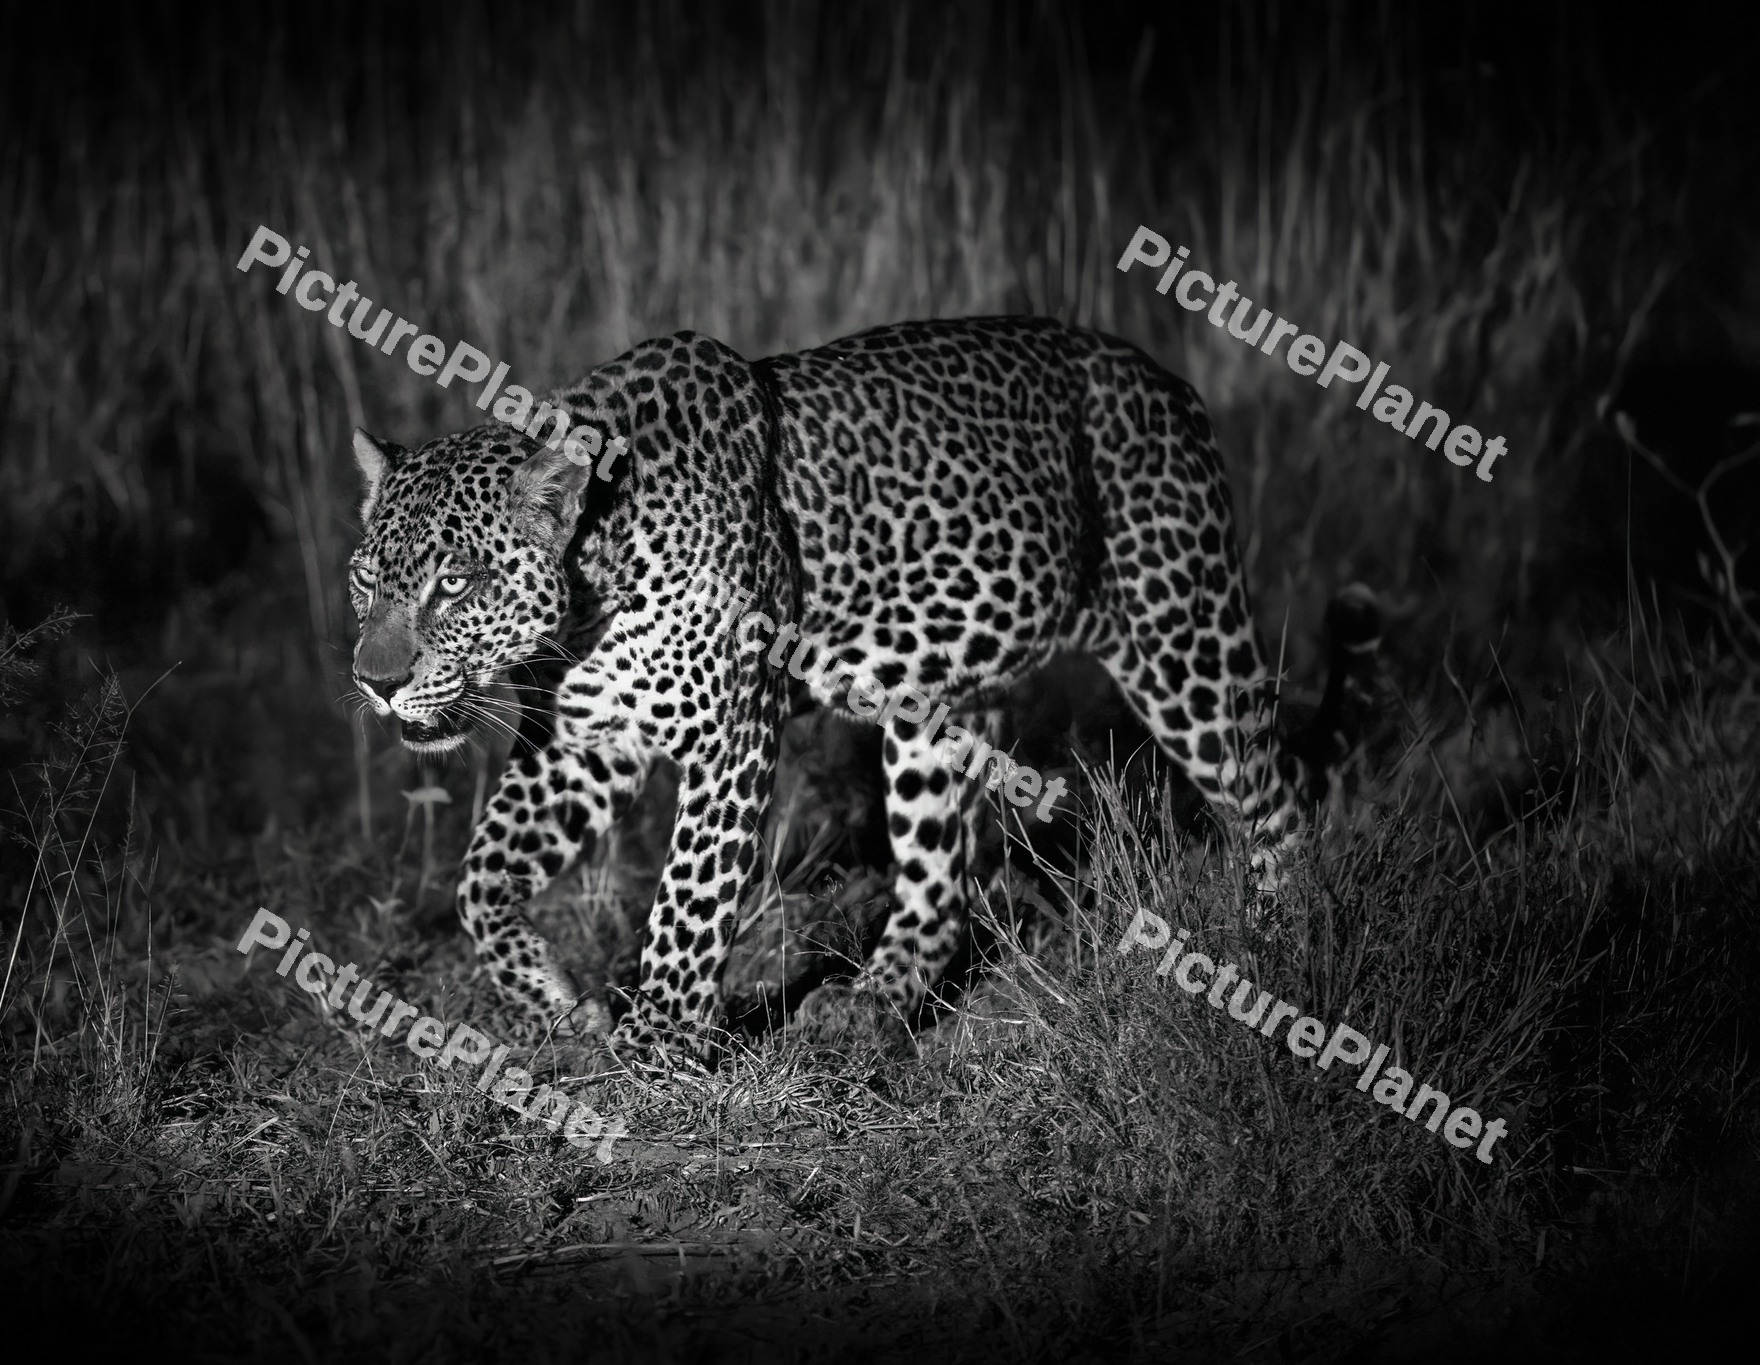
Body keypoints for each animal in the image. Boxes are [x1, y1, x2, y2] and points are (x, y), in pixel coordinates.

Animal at [345, 316, 1380, 1061]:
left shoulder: (729, 734)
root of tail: (1172, 383)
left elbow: (687, 899)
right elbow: (480, 878)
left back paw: (1282, 952)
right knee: (939, 886)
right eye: (364, 580)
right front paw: (557, 1009)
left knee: (1278, 792)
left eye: (454, 583)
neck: (591, 584)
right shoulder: (586, 742)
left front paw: (655, 1044)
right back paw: (869, 1007)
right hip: (929, 711)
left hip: (1180, 635)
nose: (375, 681)